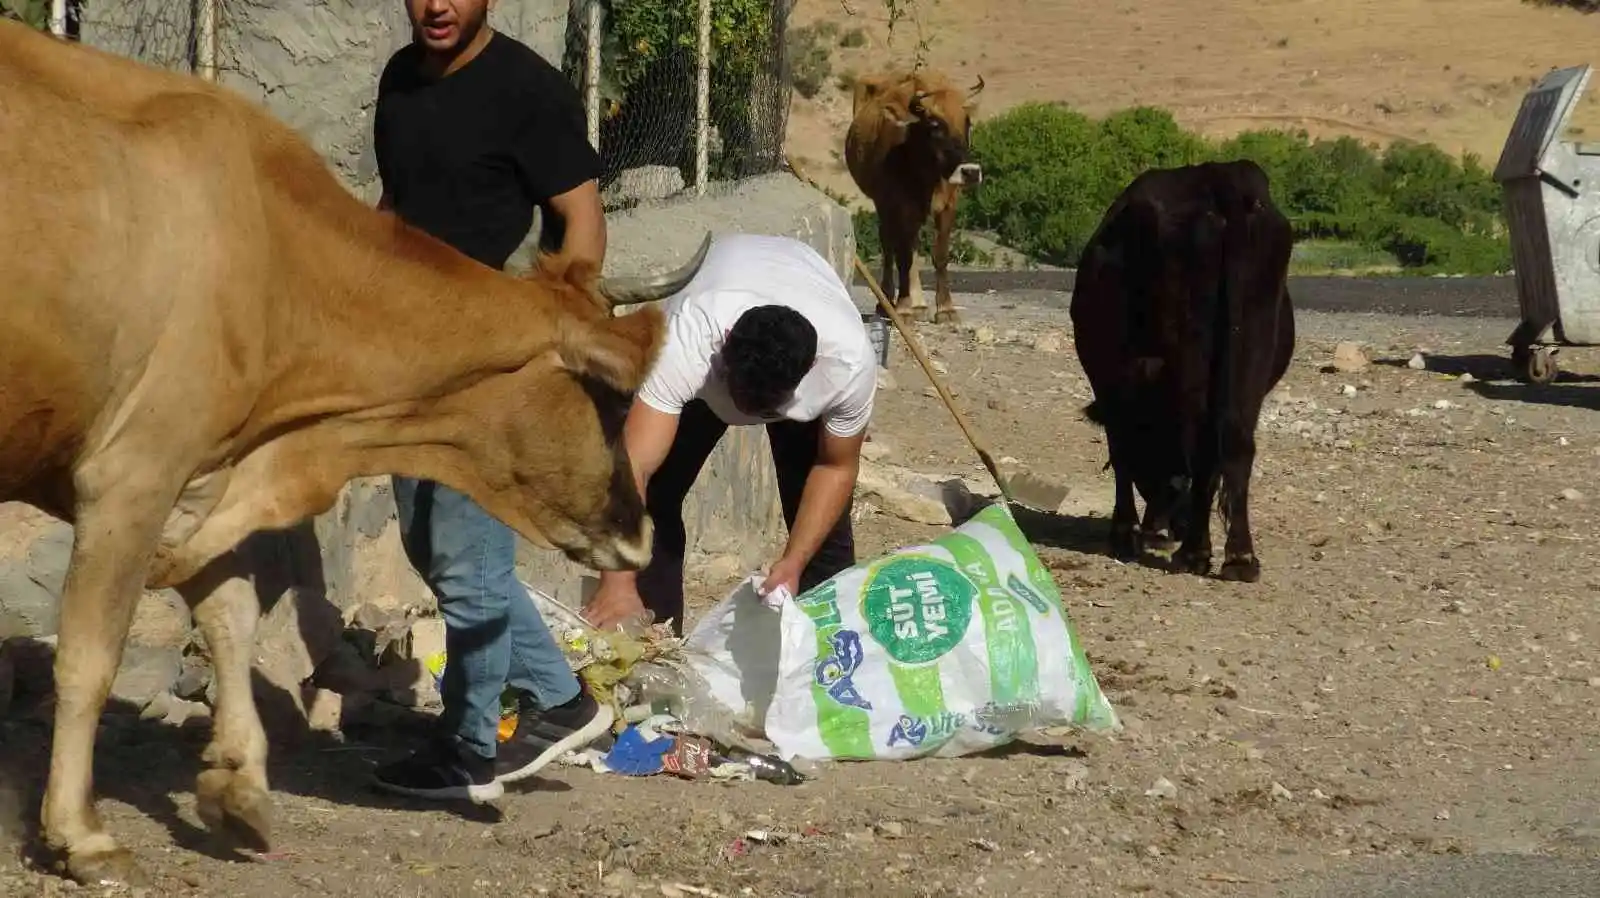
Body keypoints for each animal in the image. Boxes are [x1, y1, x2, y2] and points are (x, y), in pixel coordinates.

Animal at [0, 19, 707, 883]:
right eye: (607, 398)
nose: (641, 535)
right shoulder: (133, 473)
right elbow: (89, 658)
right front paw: (81, 833)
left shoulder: (200, 477)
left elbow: (232, 616)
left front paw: (240, 786)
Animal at [844, 67, 979, 324]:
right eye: (935, 125)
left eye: (967, 122)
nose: (970, 171)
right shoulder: (899, 203)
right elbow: (903, 257)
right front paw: (903, 308)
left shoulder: (948, 204)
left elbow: (939, 255)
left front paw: (946, 308)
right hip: (882, 203)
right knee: (889, 246)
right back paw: (887, 302)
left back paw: (918, 304)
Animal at [1068, 159, 1292, 582]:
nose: (1168, 525)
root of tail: (1221, 177)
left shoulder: (1110, 386)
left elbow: (1121, 453)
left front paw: (1123, 534)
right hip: (1247, 360)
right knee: (1233, 445)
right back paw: (1237, 557)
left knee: (1204, 446)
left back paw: (1195, 551)